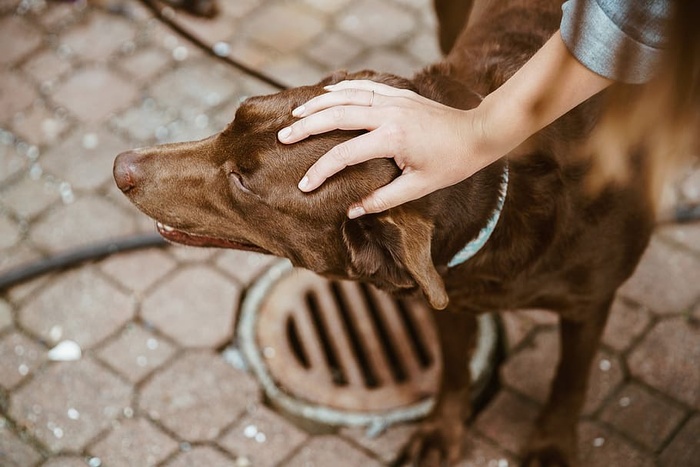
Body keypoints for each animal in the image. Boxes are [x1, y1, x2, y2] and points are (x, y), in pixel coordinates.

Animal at [113, 1, 656, 466]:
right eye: (235, 116)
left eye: (243, 182)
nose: (120, 167)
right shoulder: (450, 295)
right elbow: (453, 370)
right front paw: (441, 430)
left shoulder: (590, 301)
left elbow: (571, 380)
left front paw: (551, 446)